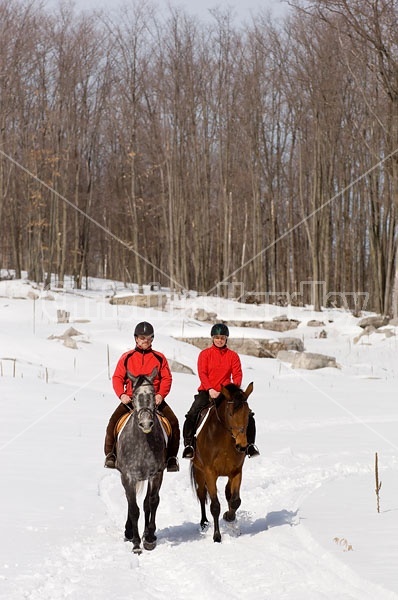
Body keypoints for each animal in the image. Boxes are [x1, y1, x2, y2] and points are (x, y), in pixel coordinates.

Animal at [115, 366, 166, 552]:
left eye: (153, 393)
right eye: (135, 395)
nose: (146, 424)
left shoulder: (156, 474)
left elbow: (152, 502)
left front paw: (149, 538)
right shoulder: (128, 476)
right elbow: (133, 509)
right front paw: (136, 543)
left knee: (145, 504)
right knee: (131, 503)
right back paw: (129, 533)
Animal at [190, 384, 253, 544]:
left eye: (248, 414)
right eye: (230, 414)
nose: (242, 446)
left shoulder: (236, 471)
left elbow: (235, 500)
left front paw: (229, 517)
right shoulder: (210, 473)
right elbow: (215, 506)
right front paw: (217, 536)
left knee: (227, 493)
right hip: (199, 472)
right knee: (201, 495)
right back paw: (204, 523)